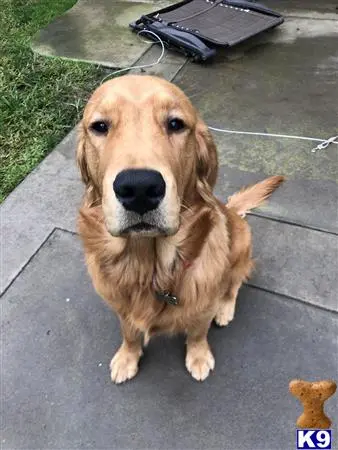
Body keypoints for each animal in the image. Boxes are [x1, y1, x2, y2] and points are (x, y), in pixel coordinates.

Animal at [76, 74, 282, 384]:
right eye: (100, 126)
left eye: (175, 123)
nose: (139, 188)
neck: (149, 271)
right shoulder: (121, 307)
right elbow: (129, 332)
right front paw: (127, 357)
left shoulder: (203, 304)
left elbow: (198, 331)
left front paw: (198, 357)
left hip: (242, 245)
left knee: (234, 283)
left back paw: (225, 309)